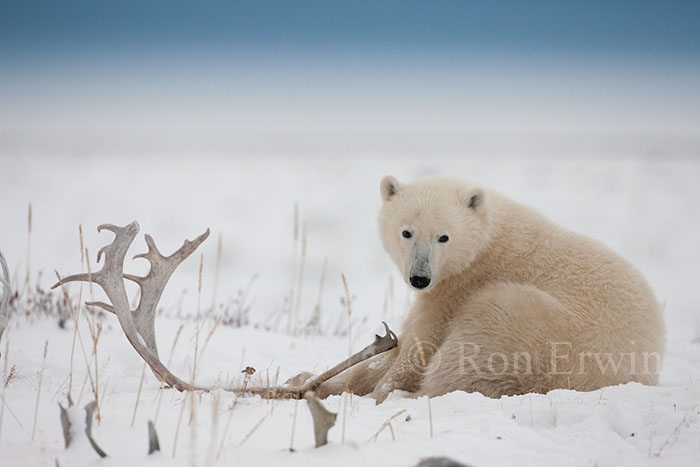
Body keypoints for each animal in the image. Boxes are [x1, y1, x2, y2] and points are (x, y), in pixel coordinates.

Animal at [301, 175, 665, 403]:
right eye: (407, 231)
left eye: (443, 236)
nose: (419, 278)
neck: (488, 240)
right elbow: (395, 346)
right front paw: (307, 378)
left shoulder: (462, 284)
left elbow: (421, 344)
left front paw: (377, 391)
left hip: (542, 336)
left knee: (470, 350)